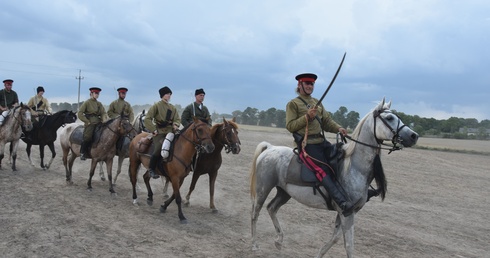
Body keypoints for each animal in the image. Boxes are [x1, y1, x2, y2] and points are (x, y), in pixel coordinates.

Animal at [251, 98, 420, 256]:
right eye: (390, 118)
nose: (414, 136)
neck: (354, 168)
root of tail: (270, 148)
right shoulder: (347, 213)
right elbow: (349, 245)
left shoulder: (349, 213)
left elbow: (336, 238)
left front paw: (318, 254)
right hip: (263, 189)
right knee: (255, 213)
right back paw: (254, 245)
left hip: (284, 192)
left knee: (271, 208)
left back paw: (279, 241)